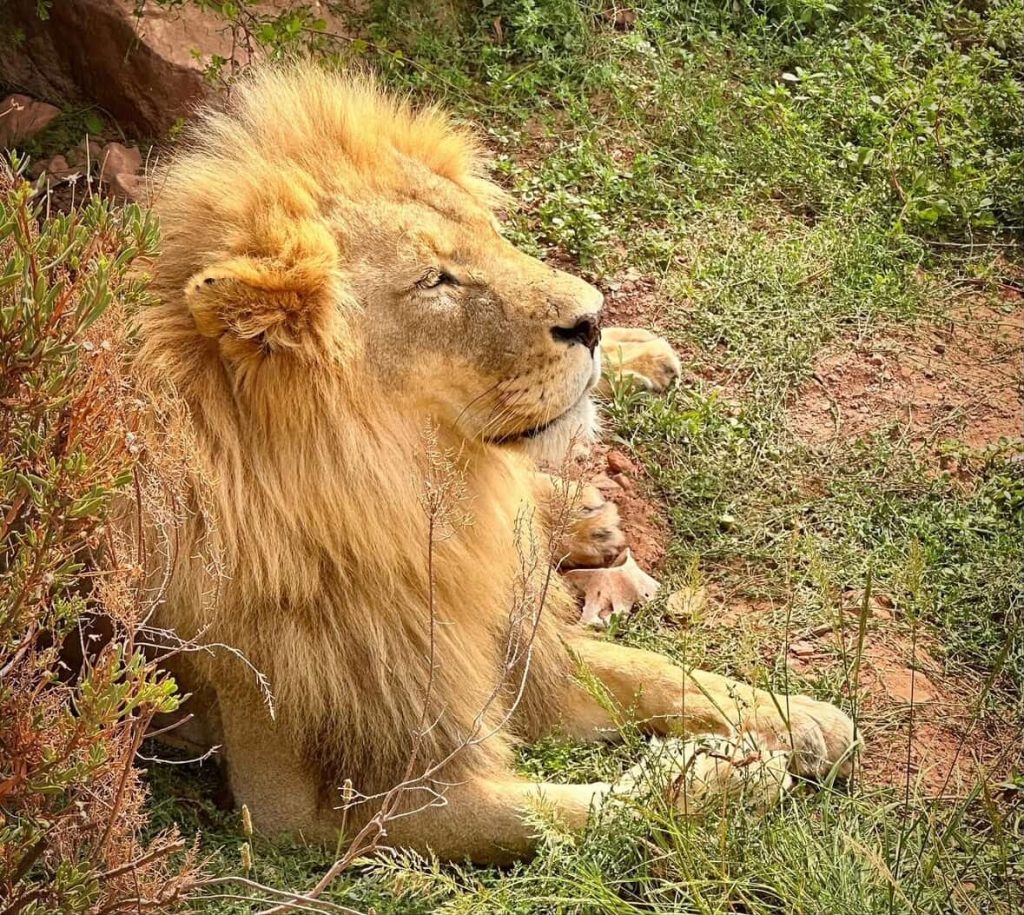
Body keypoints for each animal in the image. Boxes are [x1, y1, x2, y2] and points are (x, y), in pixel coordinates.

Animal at [137, 65, 856, 864]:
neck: (410, 507)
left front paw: (799, 718)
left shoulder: (509, 650)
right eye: (436, 281)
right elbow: (571, 815)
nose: (592, 319)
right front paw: (730, 777)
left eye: (488, 233)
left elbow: (658, 673)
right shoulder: (307, 812)